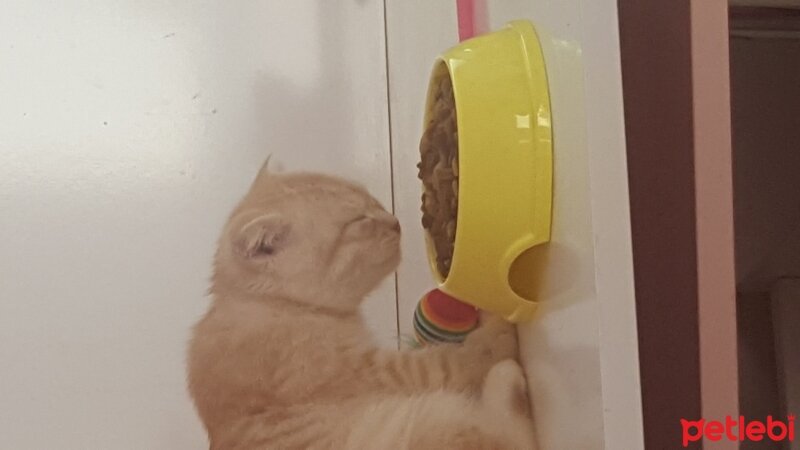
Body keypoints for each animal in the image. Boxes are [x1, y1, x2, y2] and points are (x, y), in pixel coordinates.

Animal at [188, 163, 536, 450]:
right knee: (509, 432)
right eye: (358, 222)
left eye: (372, 201)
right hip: (427, 423)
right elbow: (452, 362)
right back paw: (509, 374)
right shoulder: (376, 372)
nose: (395, 222)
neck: (277, 306)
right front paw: (498, 328)